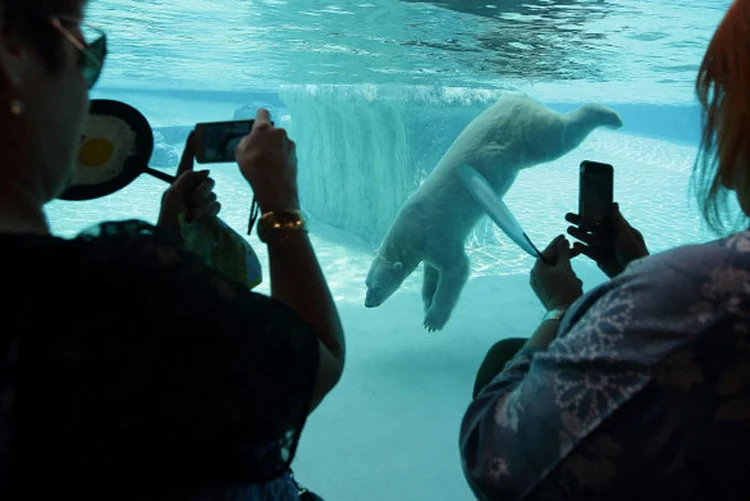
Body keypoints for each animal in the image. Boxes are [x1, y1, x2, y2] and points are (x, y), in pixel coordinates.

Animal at [362, 94, 624, 332]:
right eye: (366, 284)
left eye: (375, 287)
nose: (367, 303)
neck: (410, 231)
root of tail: (517, 98)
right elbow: (432, 271)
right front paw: (427, 301)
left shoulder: (436, 233)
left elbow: (456, 268)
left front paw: (434, 319)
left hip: (523, 132)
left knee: (558, 135)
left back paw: (611, 116)